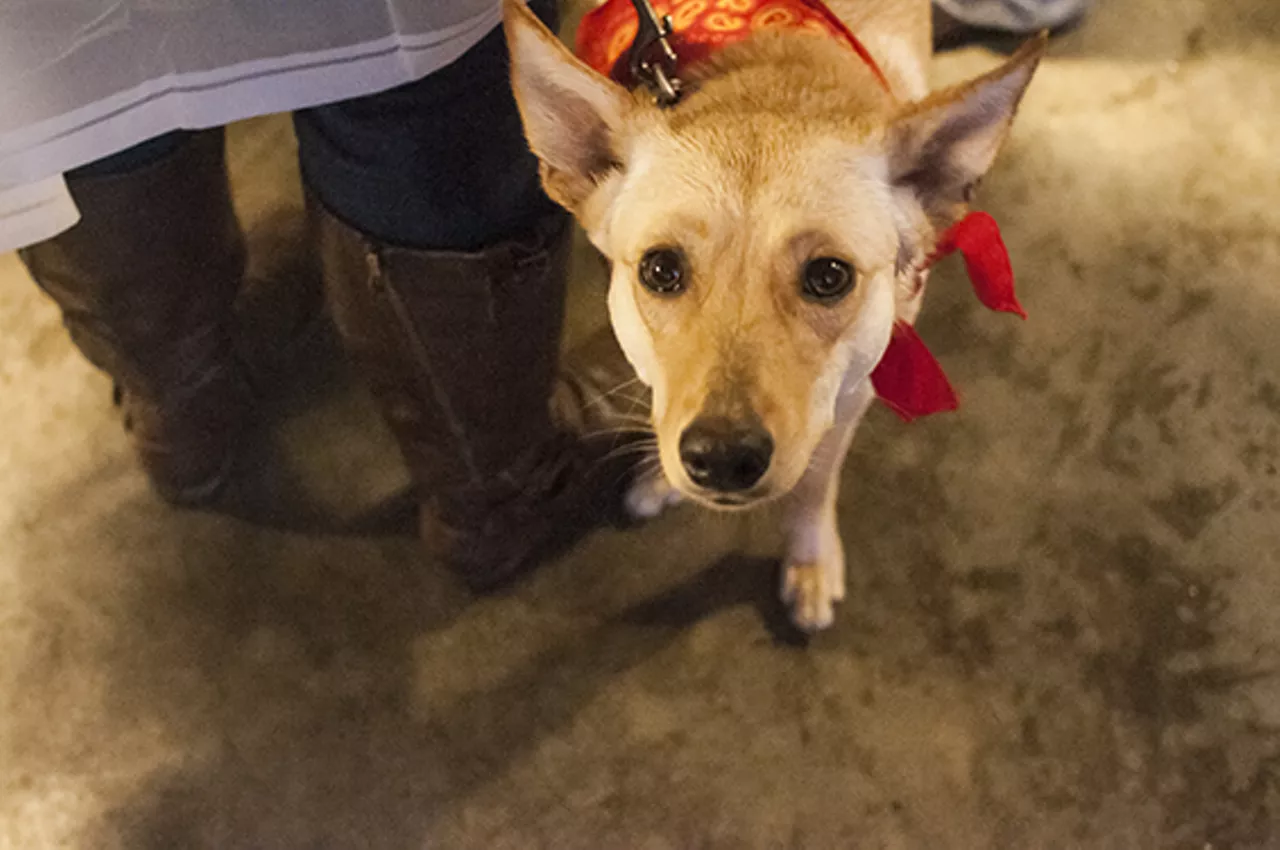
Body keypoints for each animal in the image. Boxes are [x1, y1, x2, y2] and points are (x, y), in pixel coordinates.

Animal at [496, 0, 1039, 627]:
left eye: (829, 276)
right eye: (660, 269)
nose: (722, 458)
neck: (773, 80)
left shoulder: (855, 390)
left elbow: (813, 485)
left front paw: (809, 560)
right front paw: (661, 475)